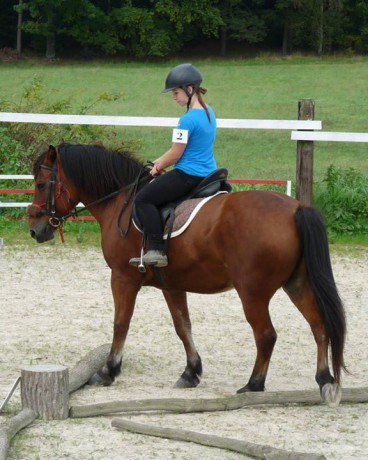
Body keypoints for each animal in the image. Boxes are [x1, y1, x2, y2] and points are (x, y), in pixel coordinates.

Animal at [27, 143, 346, 406]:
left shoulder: (122, 278)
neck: (121, 202)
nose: (35, 228)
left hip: (253, 294)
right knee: (319, 327)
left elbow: (121, 324)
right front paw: (191, 372)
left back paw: (254, 384)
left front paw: (109, 370)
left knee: (266, 335)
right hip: (297, 284)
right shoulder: (172, 285)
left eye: (41, 184)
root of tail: (297, 207)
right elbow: (183, 326)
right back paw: (324, 380)